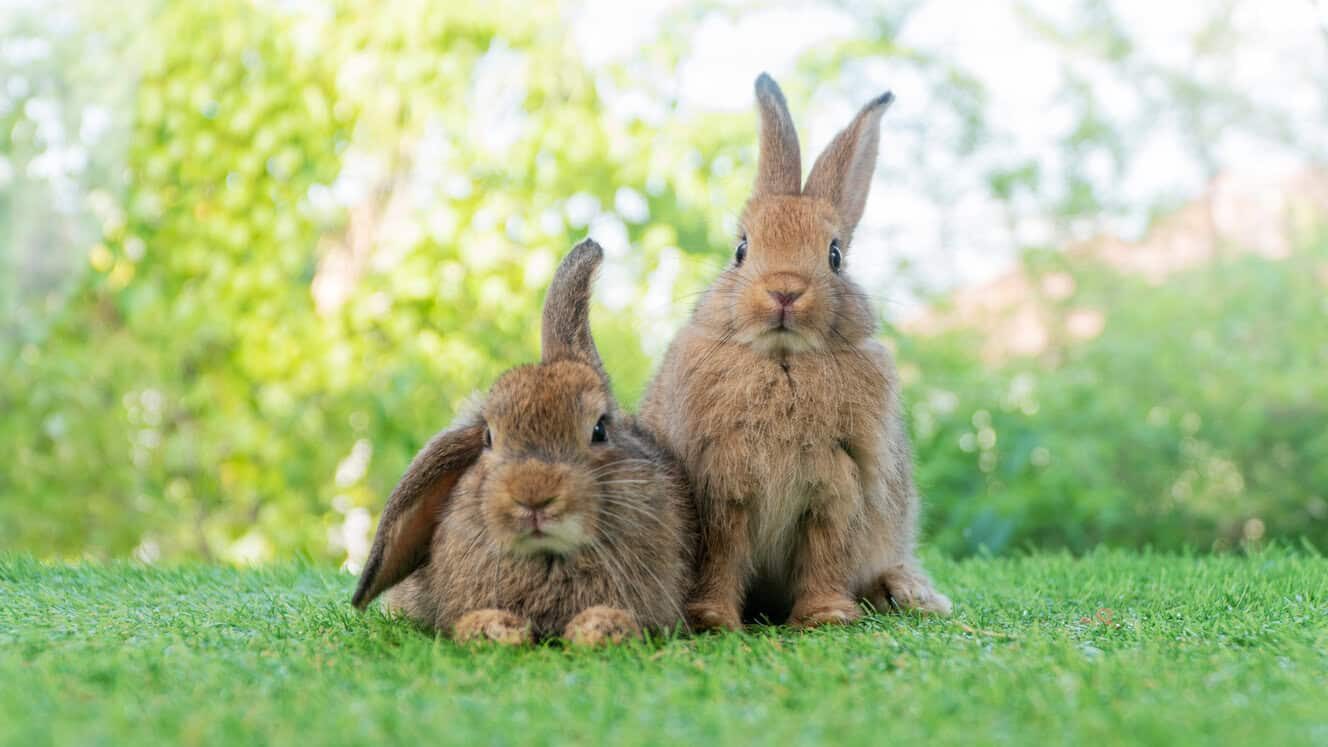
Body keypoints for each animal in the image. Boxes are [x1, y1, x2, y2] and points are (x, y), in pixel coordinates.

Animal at [640, 73, 951, 631]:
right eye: (741, 249)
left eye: (835, 255)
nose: (784, 291)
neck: (783, 362)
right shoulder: (724, 489)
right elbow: (723, 557)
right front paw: (713, 620)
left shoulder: (836, 487)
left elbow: (825, 553)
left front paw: (826, 617)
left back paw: (906, 592)